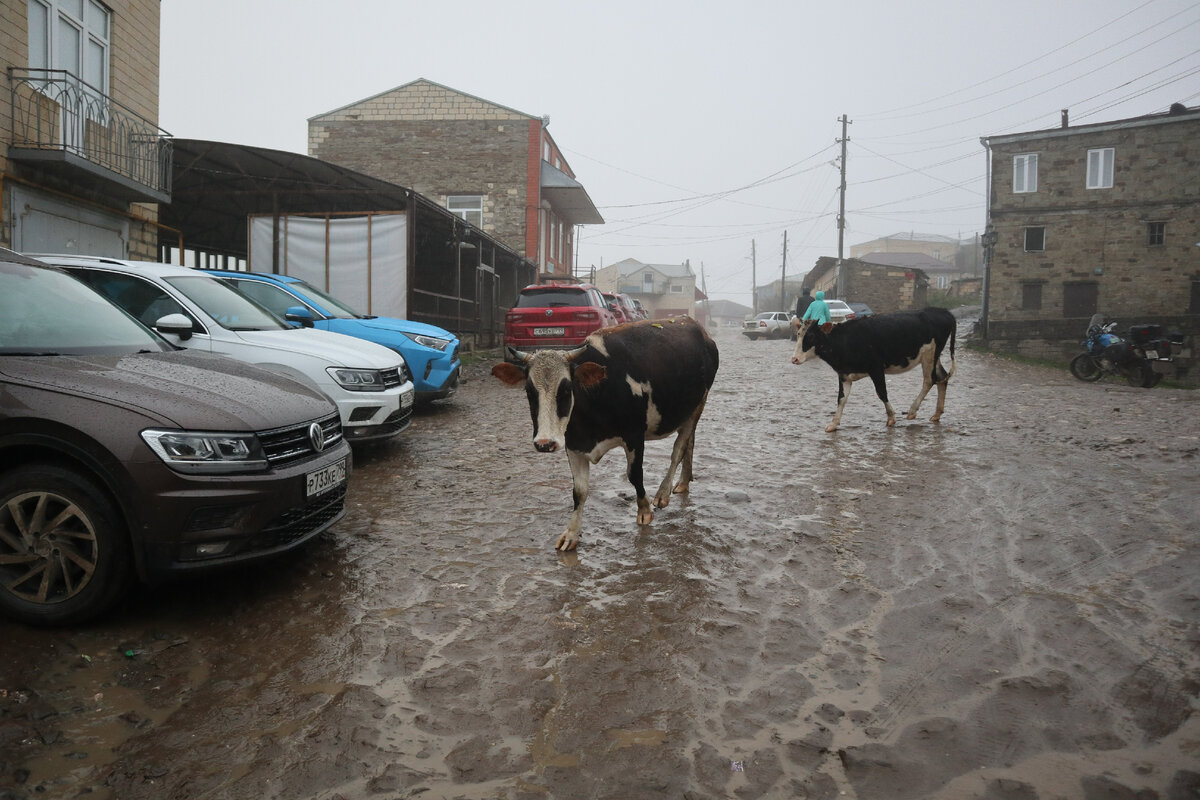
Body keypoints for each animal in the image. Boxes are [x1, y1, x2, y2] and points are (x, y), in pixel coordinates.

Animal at [489, 316, 715, 551]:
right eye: (529, 391)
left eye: (566, 389)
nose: (544, 443)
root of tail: (690, 322)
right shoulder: (573, 445)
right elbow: (579, 491)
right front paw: (571, 532)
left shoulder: (634, 435)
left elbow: (634, 475)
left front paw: (644, 510)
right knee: (689, 442)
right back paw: (684, 482)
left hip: (699, 403)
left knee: (679, 448)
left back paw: (663, 492)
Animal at [787, 307, 955, 431]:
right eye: (798, 334)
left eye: (811, 336)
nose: (794, 359)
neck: (845, 341)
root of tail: (942, 311)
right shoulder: (844, 374)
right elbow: (841, 399)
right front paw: (833, 424)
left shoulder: (876, 369)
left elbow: (882, 393)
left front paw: (891, 418)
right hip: (934, 357)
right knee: (942, 378)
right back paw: (937, 414)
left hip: (929, 354)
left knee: (929, 380)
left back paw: (912, 411)